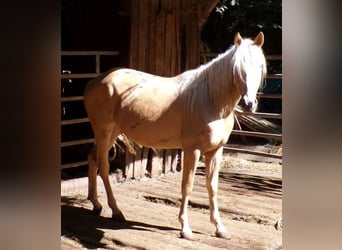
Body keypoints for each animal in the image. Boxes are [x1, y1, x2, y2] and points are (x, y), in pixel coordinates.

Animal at [83, 32, 268, 239]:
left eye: (260, 66)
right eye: (237, 67)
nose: (249, 104)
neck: (210, 101)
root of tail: (95, 81)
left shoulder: (215, 150)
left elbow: (212, 186)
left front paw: (219, 228)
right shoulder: (192, 150)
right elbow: (187, 185)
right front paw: (185, 228)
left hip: (112, 132)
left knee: (92, 160)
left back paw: (96, 204)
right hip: (104, 131)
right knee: (103, 167)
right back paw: (115, 211)